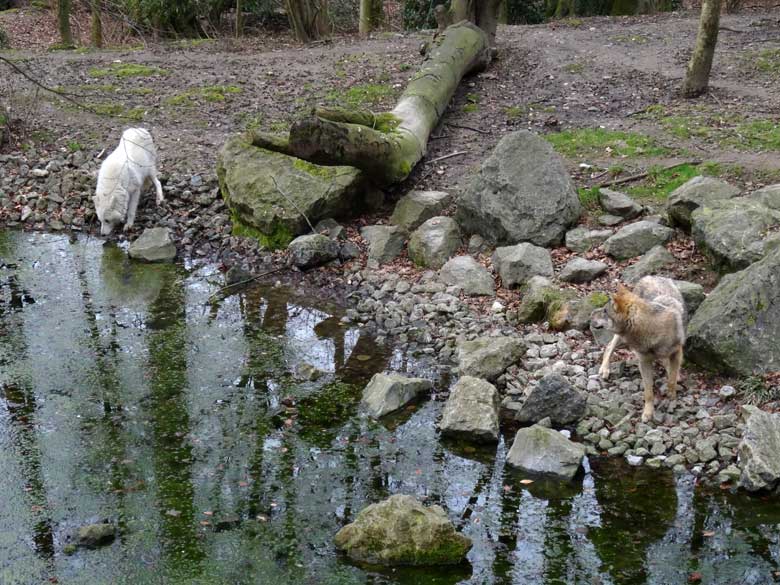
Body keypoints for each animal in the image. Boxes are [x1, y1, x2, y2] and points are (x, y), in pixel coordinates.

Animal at [596, 276, 684, 422]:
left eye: (604, 311)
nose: (592, 317)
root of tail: (650, 276)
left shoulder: (676, 352)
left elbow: (671, 380)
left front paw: (671, 397)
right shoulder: (644, 362)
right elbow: (648, 392)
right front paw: (648, 412)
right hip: (620, 338)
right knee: (609, 346)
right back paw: (605, 369)